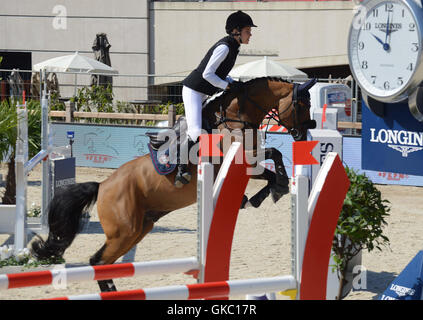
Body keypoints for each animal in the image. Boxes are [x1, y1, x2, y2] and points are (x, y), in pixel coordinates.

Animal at [32, 76, 318, 292]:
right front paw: (274, 189)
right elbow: (273, 159)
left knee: (102, 262)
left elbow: (272, 163)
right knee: (98, 261)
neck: (235, 118)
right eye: (302, 104)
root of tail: (102, 186)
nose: (304, 133)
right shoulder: (240, 161)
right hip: (124, 230)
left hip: (139, 228)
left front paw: (266, 193)